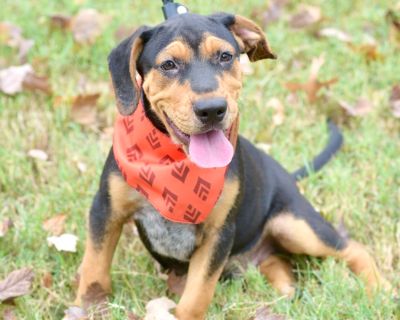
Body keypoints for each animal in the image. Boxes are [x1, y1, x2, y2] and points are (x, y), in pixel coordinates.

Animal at [74, 11, 388, 318]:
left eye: (225, 56)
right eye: (169, 65)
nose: (212, 109)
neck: (174, 163)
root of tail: (287, 176)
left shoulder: (219, 233)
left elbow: (196, 296)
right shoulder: (106, 209)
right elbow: (94, 268)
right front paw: (88, 307)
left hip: (296, 225)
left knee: (352, 248)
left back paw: (379, 289)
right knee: (280, 265)